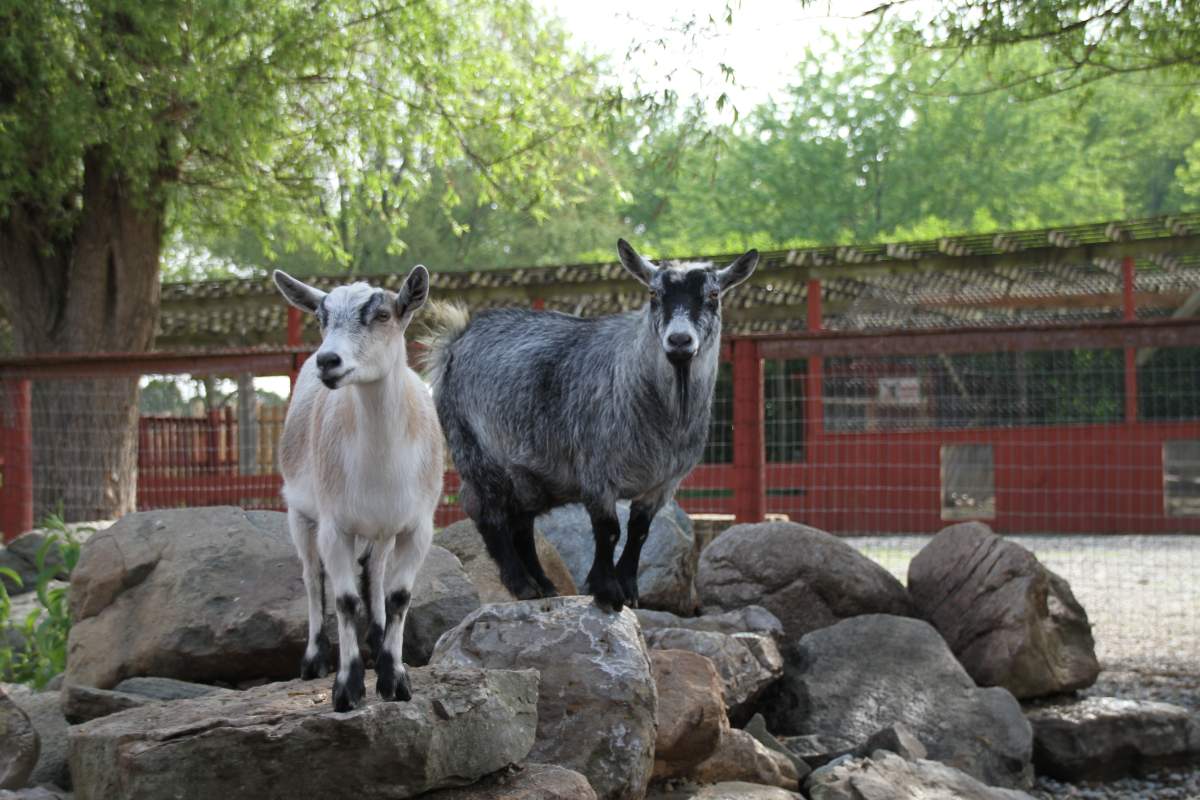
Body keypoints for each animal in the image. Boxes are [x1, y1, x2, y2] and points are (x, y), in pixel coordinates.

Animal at [274, 266, 442, 711]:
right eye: (321, 317)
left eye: (382, 315)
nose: (328, 361)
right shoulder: (336, 526)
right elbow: (344, 599)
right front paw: (347, 689)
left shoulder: (418, 527)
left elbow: (399, 597)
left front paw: (395, 681)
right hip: (299, 513)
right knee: (312, 576)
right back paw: (313, 660)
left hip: (382, 530)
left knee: (374, 572)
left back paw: (378, 642)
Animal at [424, 240, 758, 611]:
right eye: (653, 293)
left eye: (713, 295)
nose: (680, 341)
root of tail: (456, 339)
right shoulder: (597, 471)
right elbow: (608, 529)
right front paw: (607, 591)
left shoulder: (663, 484)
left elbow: (640, 530)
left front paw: (629, 590)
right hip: (475, 449)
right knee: (487, 511)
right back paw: (521, 583)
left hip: (526, 471)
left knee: (522, 522)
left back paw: (544, 584)